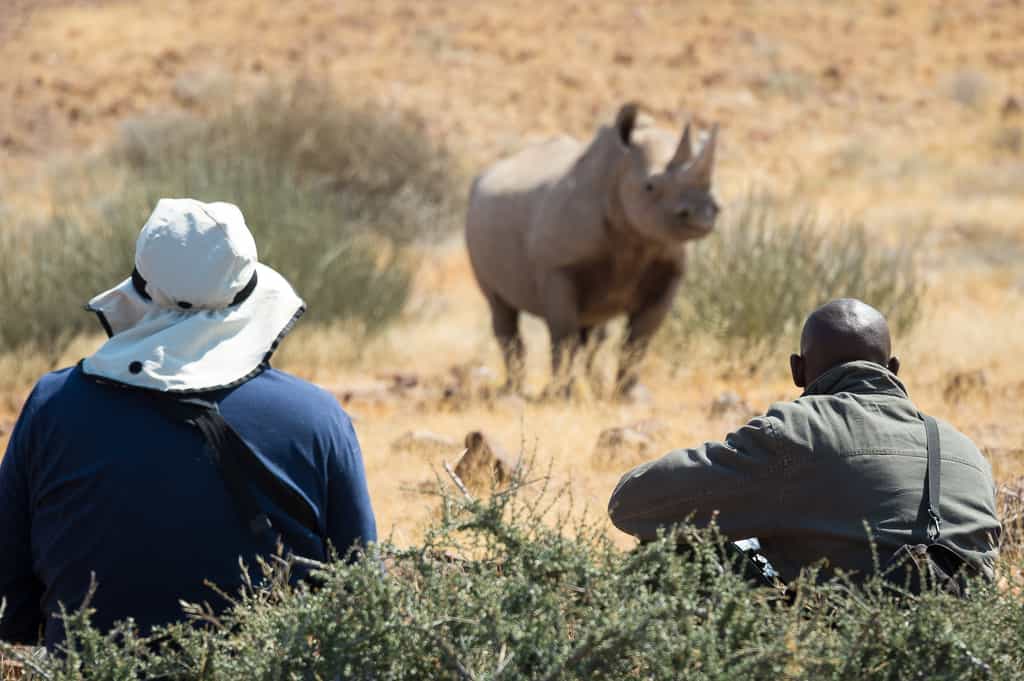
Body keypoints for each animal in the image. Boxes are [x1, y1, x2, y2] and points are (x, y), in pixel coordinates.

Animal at [465, 103, 719, 398]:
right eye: (650, 186)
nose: (703, 214)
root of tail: (487, 172)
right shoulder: (558, 268)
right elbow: (564, 334)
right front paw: (561, 395)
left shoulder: (669, 270)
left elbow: (639, 340)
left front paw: (629, 396)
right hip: (474, 217)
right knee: (502, 309)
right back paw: (513, 391)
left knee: (594, 331)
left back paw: (589, 386)